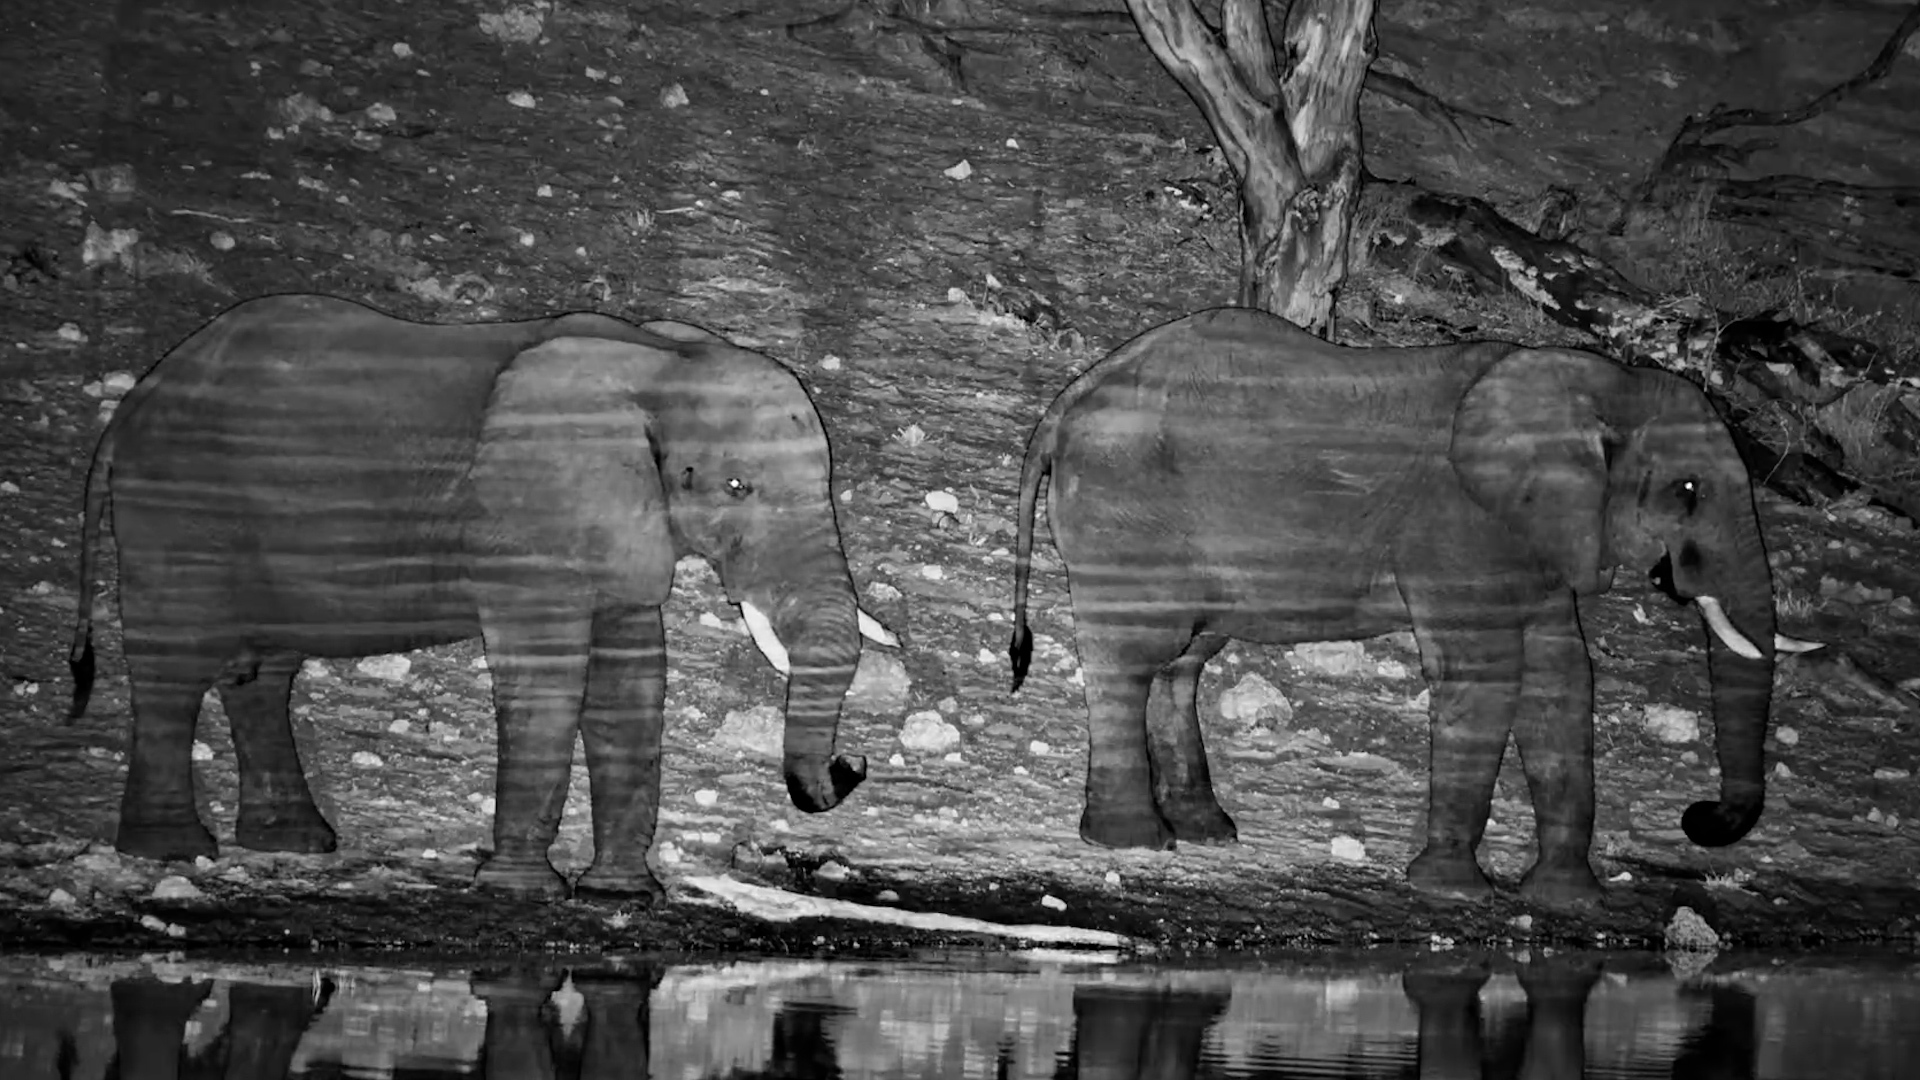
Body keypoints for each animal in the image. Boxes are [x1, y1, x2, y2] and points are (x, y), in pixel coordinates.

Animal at [68, 293, 896, 901]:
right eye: (735, 485)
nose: (849, 767)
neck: (658, 365)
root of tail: (134, 401)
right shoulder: (524, 517)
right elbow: (548, 680)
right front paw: (521, 891)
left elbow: (633, 685)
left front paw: (622, 896)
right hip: (176, 508)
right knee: (174, 669)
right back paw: (173, 851)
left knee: (262, 674)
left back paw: (296, 844)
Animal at [1009, 306, 1813, 902]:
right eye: (1687, 491)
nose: (1700, 817)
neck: (1593, 382)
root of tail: (1066, 402)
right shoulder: (1460, 527)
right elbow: (1488, 678)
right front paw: (1454, 891)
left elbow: (1563, 680)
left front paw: (1566, 901)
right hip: (1126, 509)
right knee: (1134, 652)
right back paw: (1135, 841)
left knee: (1181, 659)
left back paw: (1206, 830)